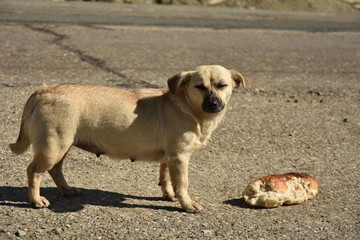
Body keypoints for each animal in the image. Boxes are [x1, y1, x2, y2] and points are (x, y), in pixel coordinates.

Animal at [9, 64, 249, 213]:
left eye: (222, 86)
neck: (188, 107)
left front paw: (169, 195)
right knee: (34, 171)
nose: (214, 104)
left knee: (55, 170)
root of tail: (43, 90)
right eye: (199, 87)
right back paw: (35, 200)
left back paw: (67, 191)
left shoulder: (169, 158)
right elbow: (182, 183)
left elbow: (166, 179)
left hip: (62, 145)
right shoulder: (180, 157)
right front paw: (187, 204)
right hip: (54, 147)